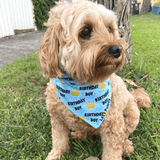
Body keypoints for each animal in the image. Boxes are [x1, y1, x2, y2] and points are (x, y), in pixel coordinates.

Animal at [39, 0, 151, 159]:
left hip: (131, 115)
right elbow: (59, 141)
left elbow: (112, 152)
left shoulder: (113, 124)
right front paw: (55, 154)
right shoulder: (56, 120)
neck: (81, 83)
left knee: (125, 134)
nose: (118, 49)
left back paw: (126, 146)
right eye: (86, 31)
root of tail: (133, 96)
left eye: (109, 29)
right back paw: (80, 134)